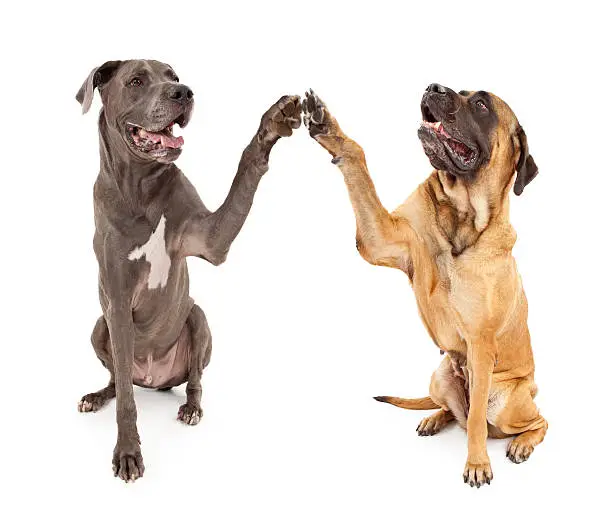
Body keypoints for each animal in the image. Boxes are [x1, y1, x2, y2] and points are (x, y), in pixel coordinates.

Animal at [76, 59, 302, 480]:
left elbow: (245, 171)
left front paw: (273, 122)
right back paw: (98, 396)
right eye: (136, 80)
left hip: (197, 316)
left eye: (173, 76)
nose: (183, 93)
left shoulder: (212, 239)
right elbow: (126, 399)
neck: (141, 187)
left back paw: (192, 407)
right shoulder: (116, 300)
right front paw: (128, 452)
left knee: (195, 378)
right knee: (119, 380)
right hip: (100, 326)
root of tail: (153, 379)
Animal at [304, 85, 548, 486]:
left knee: (531, 420)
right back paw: (434, 418)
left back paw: (522, 443)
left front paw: (477, 463)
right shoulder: (383, 238)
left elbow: (477, 422)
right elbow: (357, 160)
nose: (434, 88)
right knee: (455, 411)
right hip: (441, 376)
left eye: (480, 104)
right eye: (459, 91)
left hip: (508, 400)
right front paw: (329, 129)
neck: (462, 216)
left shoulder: (481, 345)